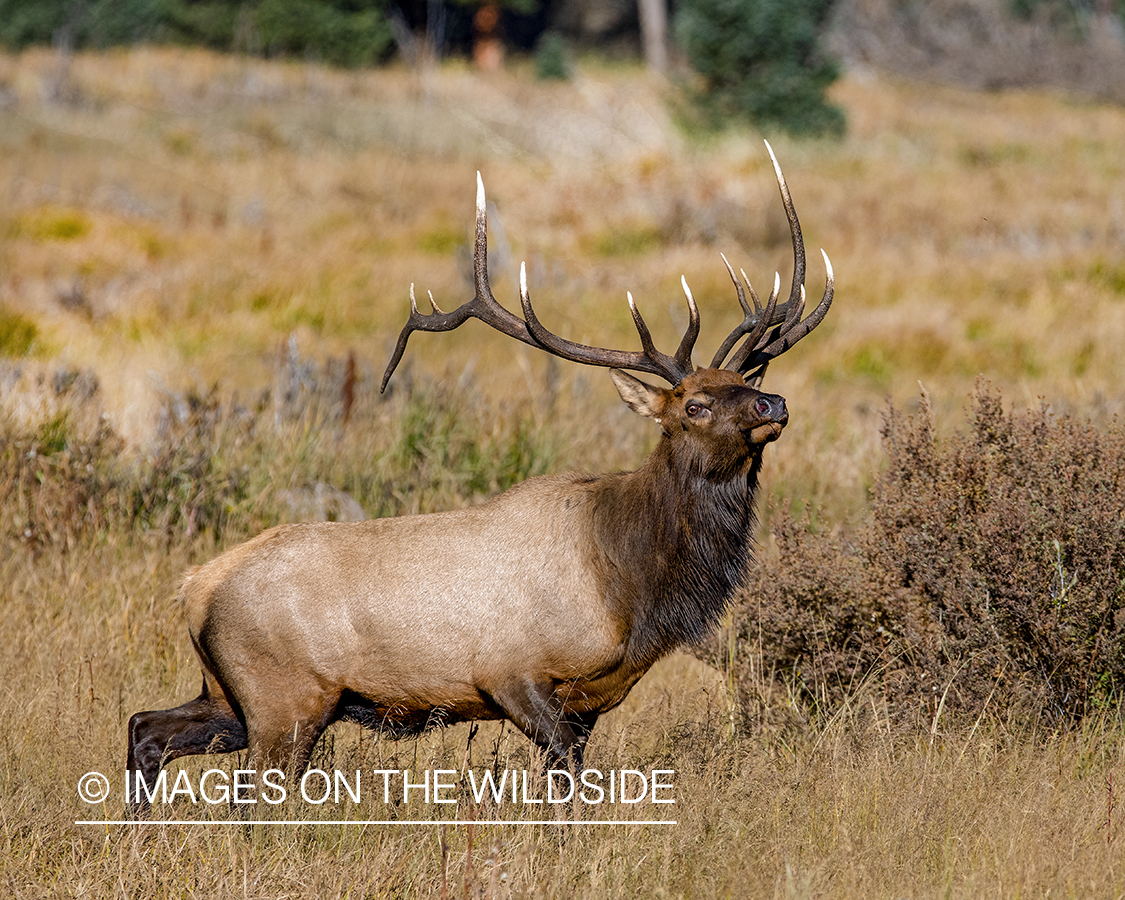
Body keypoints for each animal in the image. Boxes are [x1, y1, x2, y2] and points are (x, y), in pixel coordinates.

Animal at [127, 140, 837, 810]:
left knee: (145, 726)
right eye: (693, 406)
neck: (628, 585)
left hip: (229, 695)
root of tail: (195, 588)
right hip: (287, 696)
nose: (772, 404)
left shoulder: (587, 703)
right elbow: (566, 779)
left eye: (746, 381)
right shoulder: (511, 674)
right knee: (249, 795)